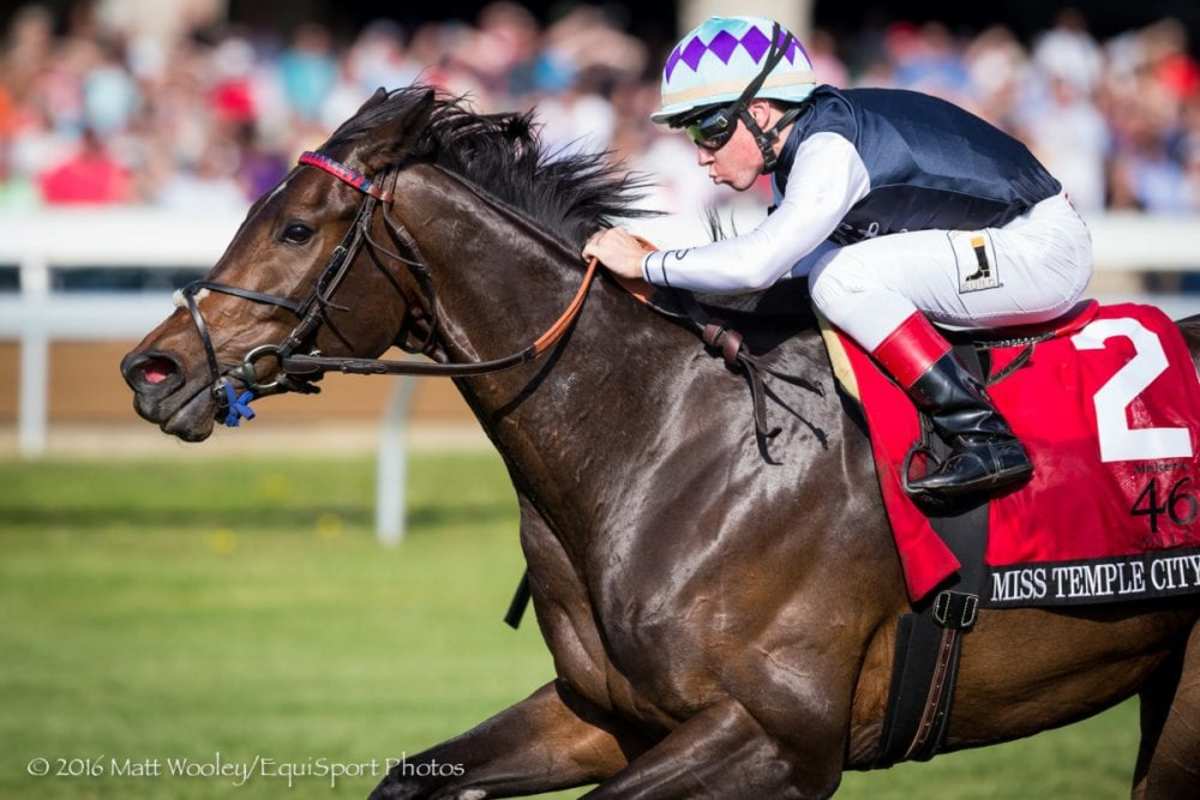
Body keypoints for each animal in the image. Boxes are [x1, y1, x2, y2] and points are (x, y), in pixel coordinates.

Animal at [120, 87, 1200, 799]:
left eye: (297, 229)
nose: (151, 368)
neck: (664, 441)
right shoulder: (608, 714)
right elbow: (412, 776)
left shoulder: (781, 733)